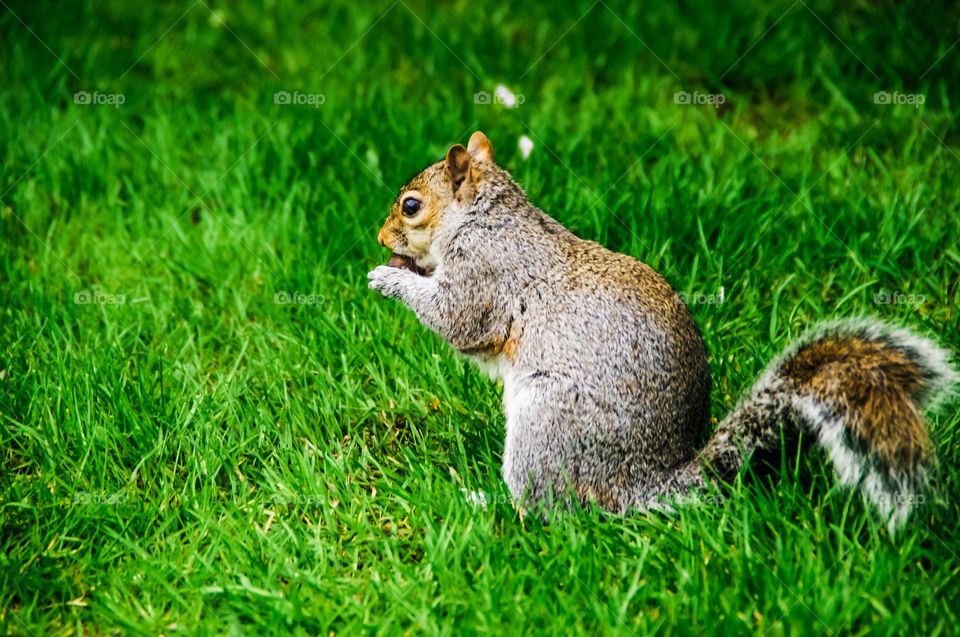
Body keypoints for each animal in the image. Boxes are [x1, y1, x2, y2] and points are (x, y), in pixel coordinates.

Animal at [366, 129, 952, 532]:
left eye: (412, 206)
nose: (380, 237)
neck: (485, 216)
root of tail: (648, 482)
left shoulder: (486, 273)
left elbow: (458, 319)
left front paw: (390, 278)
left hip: (546, 426)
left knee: (549, 506)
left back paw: (486, 504)